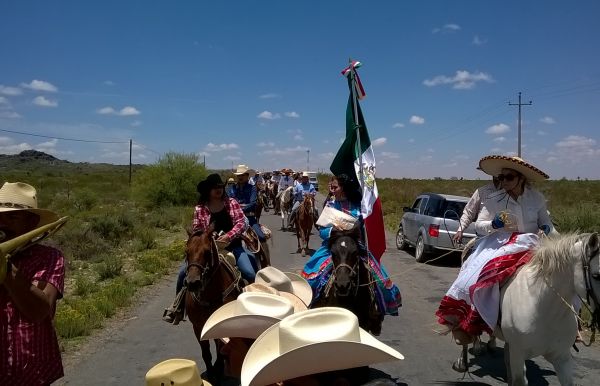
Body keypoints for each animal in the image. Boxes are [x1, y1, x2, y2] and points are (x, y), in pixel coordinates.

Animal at [186, 223, 245, 382]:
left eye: (207, 252)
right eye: (186, 252)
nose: (193, 283)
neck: (209, 296)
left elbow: (219, 347)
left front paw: (218, 368)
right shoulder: (197, 326)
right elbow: (206, 352)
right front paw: (211, 373)